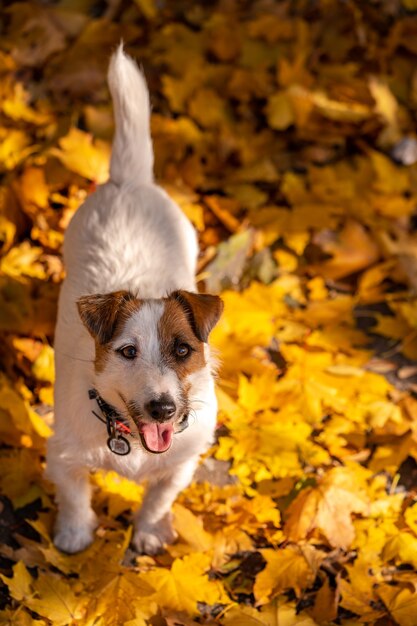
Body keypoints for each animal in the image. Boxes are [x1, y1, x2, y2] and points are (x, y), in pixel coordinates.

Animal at [44, 46, 224, 552]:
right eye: (127, 352)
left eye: (183, 350)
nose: (163, 408)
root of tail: (129, 181)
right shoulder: (63, 456)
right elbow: (75, 498)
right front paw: (74, 535)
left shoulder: (180, 465)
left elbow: (159, 499)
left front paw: (148, 533)